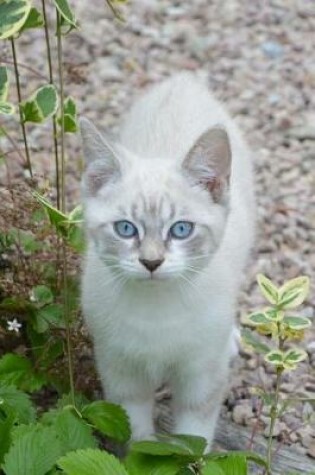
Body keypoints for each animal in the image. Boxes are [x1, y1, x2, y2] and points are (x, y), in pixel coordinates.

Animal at [80, 72, 256, 448]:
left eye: (181, 229)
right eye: (125, 228)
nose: (151, 262)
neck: (156, 312)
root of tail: (183, 80)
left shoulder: (200, 374)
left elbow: (194, 437)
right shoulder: (120, 370)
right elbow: (137, 437)